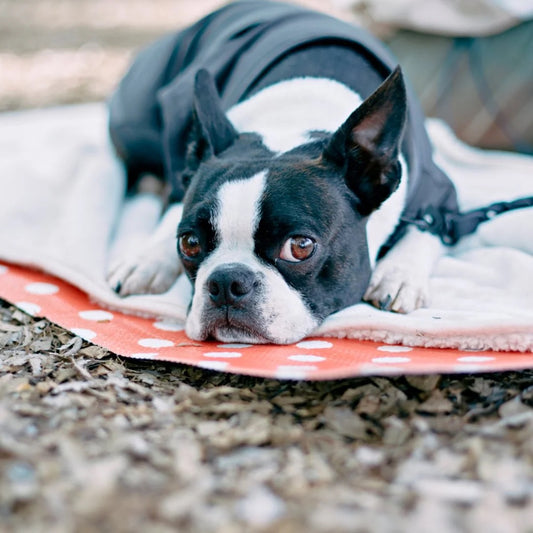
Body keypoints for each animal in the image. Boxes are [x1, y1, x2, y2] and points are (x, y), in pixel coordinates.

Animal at [107, 2, 454, 342]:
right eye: (189, 242)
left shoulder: (443, 193)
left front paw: (400, 274)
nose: (226, 281)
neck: (291, 121)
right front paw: (147, 259)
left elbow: (430, 227)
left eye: (300, 247)